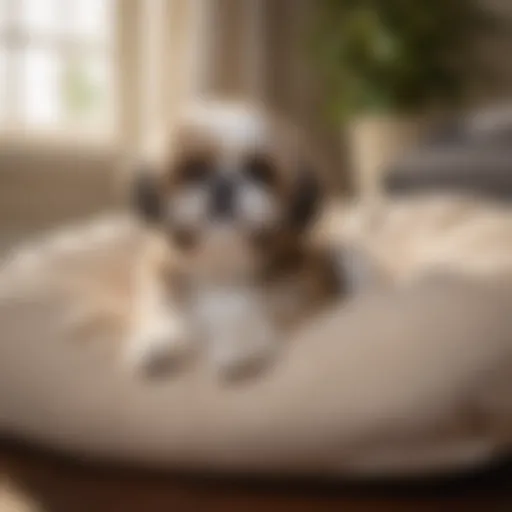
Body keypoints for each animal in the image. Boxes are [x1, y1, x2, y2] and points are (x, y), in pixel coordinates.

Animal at [125, 101, 340, 380]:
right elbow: (161, 304)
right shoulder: (160, 271)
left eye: (259, 171)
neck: (222, 265)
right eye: (194, 170)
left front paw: (242, 345)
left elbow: (253, 308)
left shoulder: (298, 286)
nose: (224, 185)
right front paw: (159, 339)